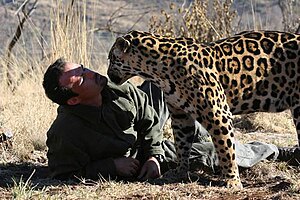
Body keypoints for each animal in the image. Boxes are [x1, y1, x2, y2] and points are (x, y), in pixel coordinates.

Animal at [106, 29, 298, 188]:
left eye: (111, 58)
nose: (107, 74)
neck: (156, 71)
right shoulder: (181, 116)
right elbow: (182, 145)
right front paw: (180, 171)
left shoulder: (218, 115)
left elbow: (225, 150)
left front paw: (232, 180)